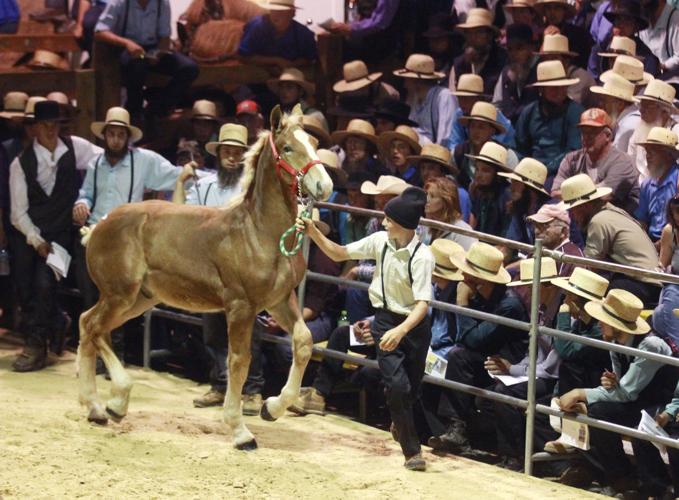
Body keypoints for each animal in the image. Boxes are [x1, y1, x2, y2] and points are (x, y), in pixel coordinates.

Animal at [78, 104, 333, 449]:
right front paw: (240, 431)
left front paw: (272, 408)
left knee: (90, 326)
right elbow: (238, 361)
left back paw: (99, 407)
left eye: (314, 143)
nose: (324, 186)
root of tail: (99, 224)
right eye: (289, 147)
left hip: (138, 299)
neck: (258, 232)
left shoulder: (279, 300)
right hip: (120, 295)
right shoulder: (240, 306)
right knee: (92, 326)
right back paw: (111, 401)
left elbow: (304, 342)